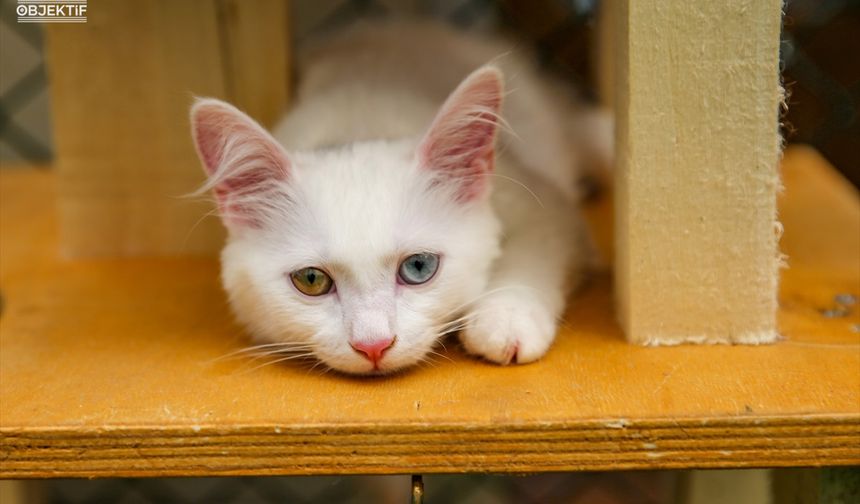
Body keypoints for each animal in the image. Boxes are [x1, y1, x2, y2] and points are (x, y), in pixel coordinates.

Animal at [191, 20, 608, 374]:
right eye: (311, 280)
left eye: (419, 267)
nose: (373, 345)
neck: (361, 126)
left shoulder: (546, 206)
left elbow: (529, 256)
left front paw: (503, 320)